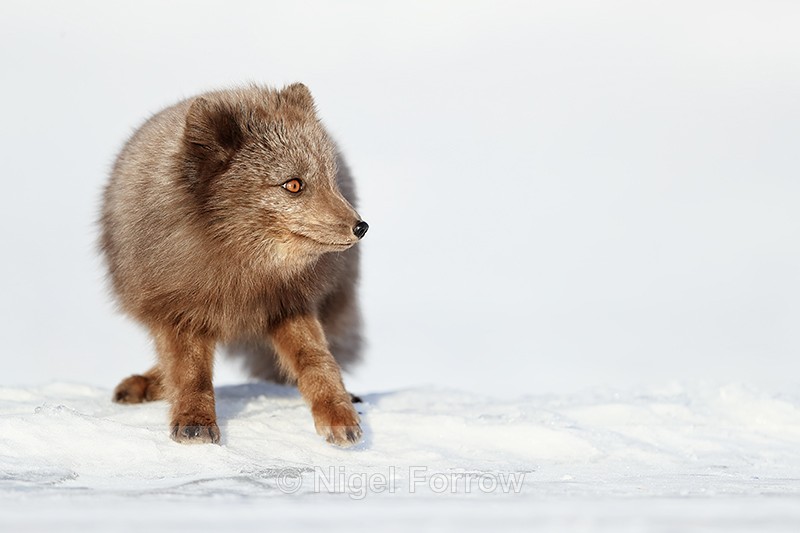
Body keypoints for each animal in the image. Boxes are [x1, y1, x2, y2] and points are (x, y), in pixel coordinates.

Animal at [100, 84, 368, 447]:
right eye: (293, 184)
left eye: (330, 178)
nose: (361, 227)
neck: (243, 277)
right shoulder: (178, 310)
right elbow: (190, 374)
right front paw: (195, 422)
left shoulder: (289, 303)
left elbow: (317, 360)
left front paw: (339, 416)